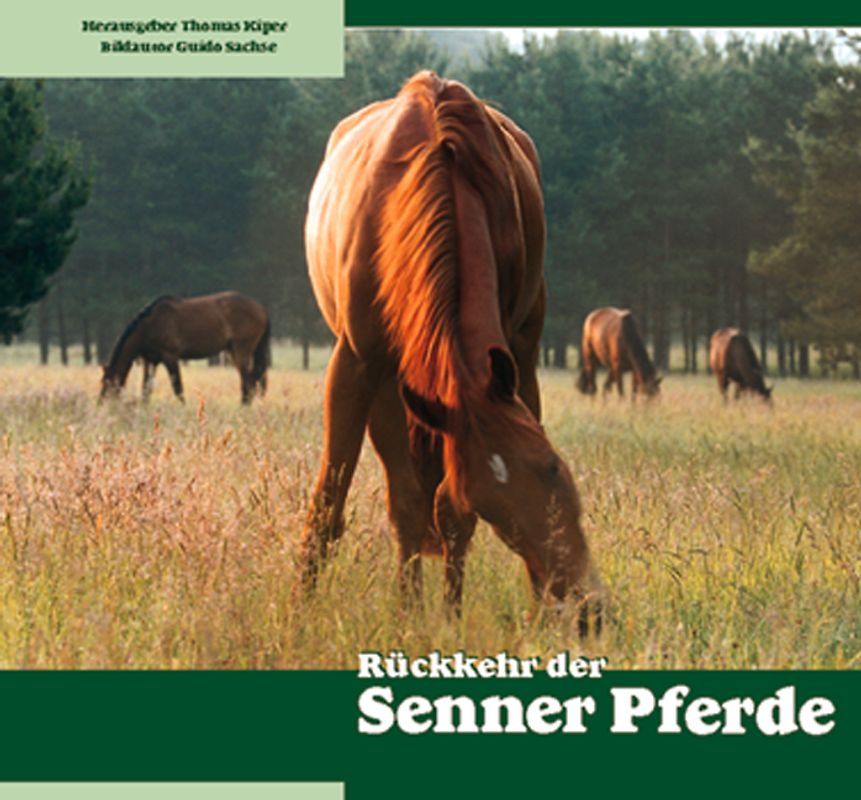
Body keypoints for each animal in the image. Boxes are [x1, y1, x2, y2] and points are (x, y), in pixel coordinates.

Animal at [100, 291, 270, 404]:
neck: (150, 325)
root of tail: (261, 308)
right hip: (233, 351)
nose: (101, 404)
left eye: (107, 382)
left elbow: (178, 388)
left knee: (248, 380)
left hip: (241, 350)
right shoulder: (150, 360)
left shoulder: (170, 357)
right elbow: (146, 388)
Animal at [301, 71, 602, 633]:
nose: (586, 608)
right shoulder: (355, 363)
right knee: (405, 500)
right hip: (390, 389)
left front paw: (450, 618)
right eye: (494, 503)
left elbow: (450, 513)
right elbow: (331, 502)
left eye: (552, 467)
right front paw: (299, 611)